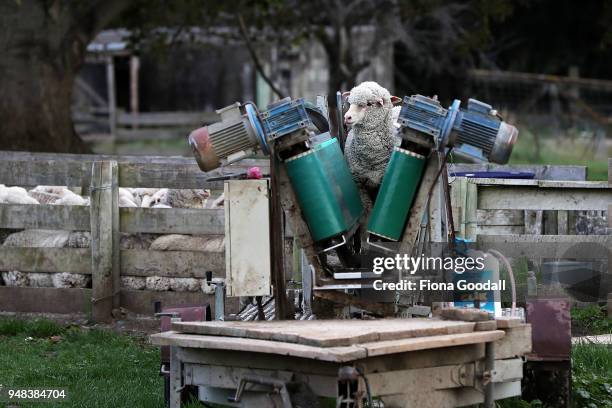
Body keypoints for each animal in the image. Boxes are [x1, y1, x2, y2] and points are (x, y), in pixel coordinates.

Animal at [342, 80, 404, 209]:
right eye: (350, 103)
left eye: (369, 104)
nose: (347, 117)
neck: (371, 157)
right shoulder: (357, 183)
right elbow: (367, 209)